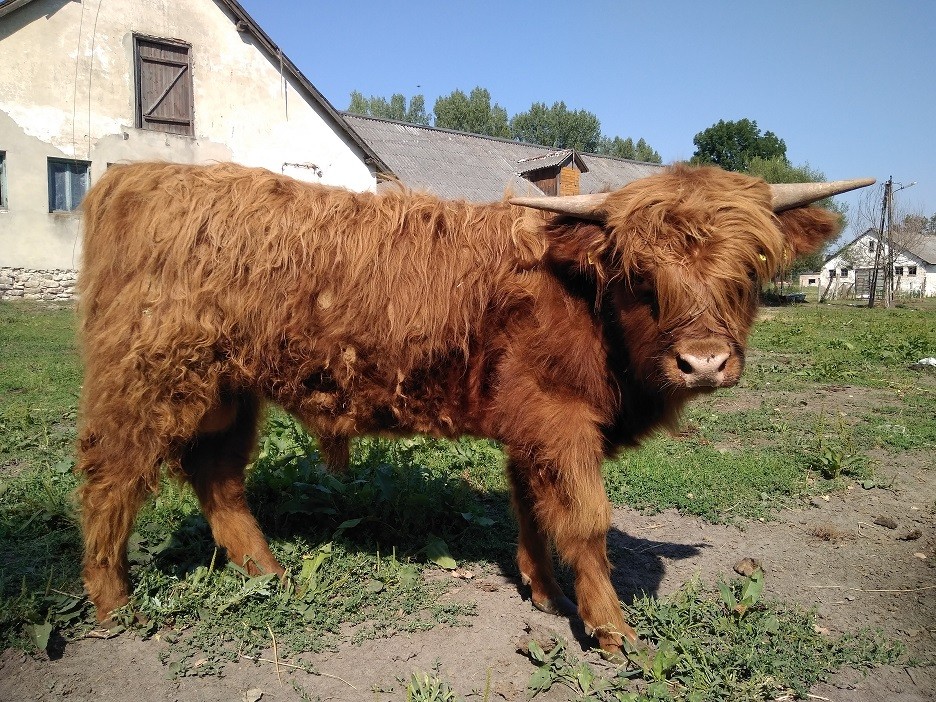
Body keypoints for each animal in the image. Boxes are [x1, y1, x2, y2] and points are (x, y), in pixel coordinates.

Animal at [76, 162, 871, 655]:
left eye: (748, 269)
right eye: (640, 274)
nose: (703, 362)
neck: (581, 297)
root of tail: (136, 176)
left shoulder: (529, 422)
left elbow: (529, 506)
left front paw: (544, 593)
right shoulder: (559, 419)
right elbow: (586, 522)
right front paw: (610, 630)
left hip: (227, 391)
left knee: (218, 475)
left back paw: (268, 574)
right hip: (148, 382)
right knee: (112, 480)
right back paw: (114, 604)